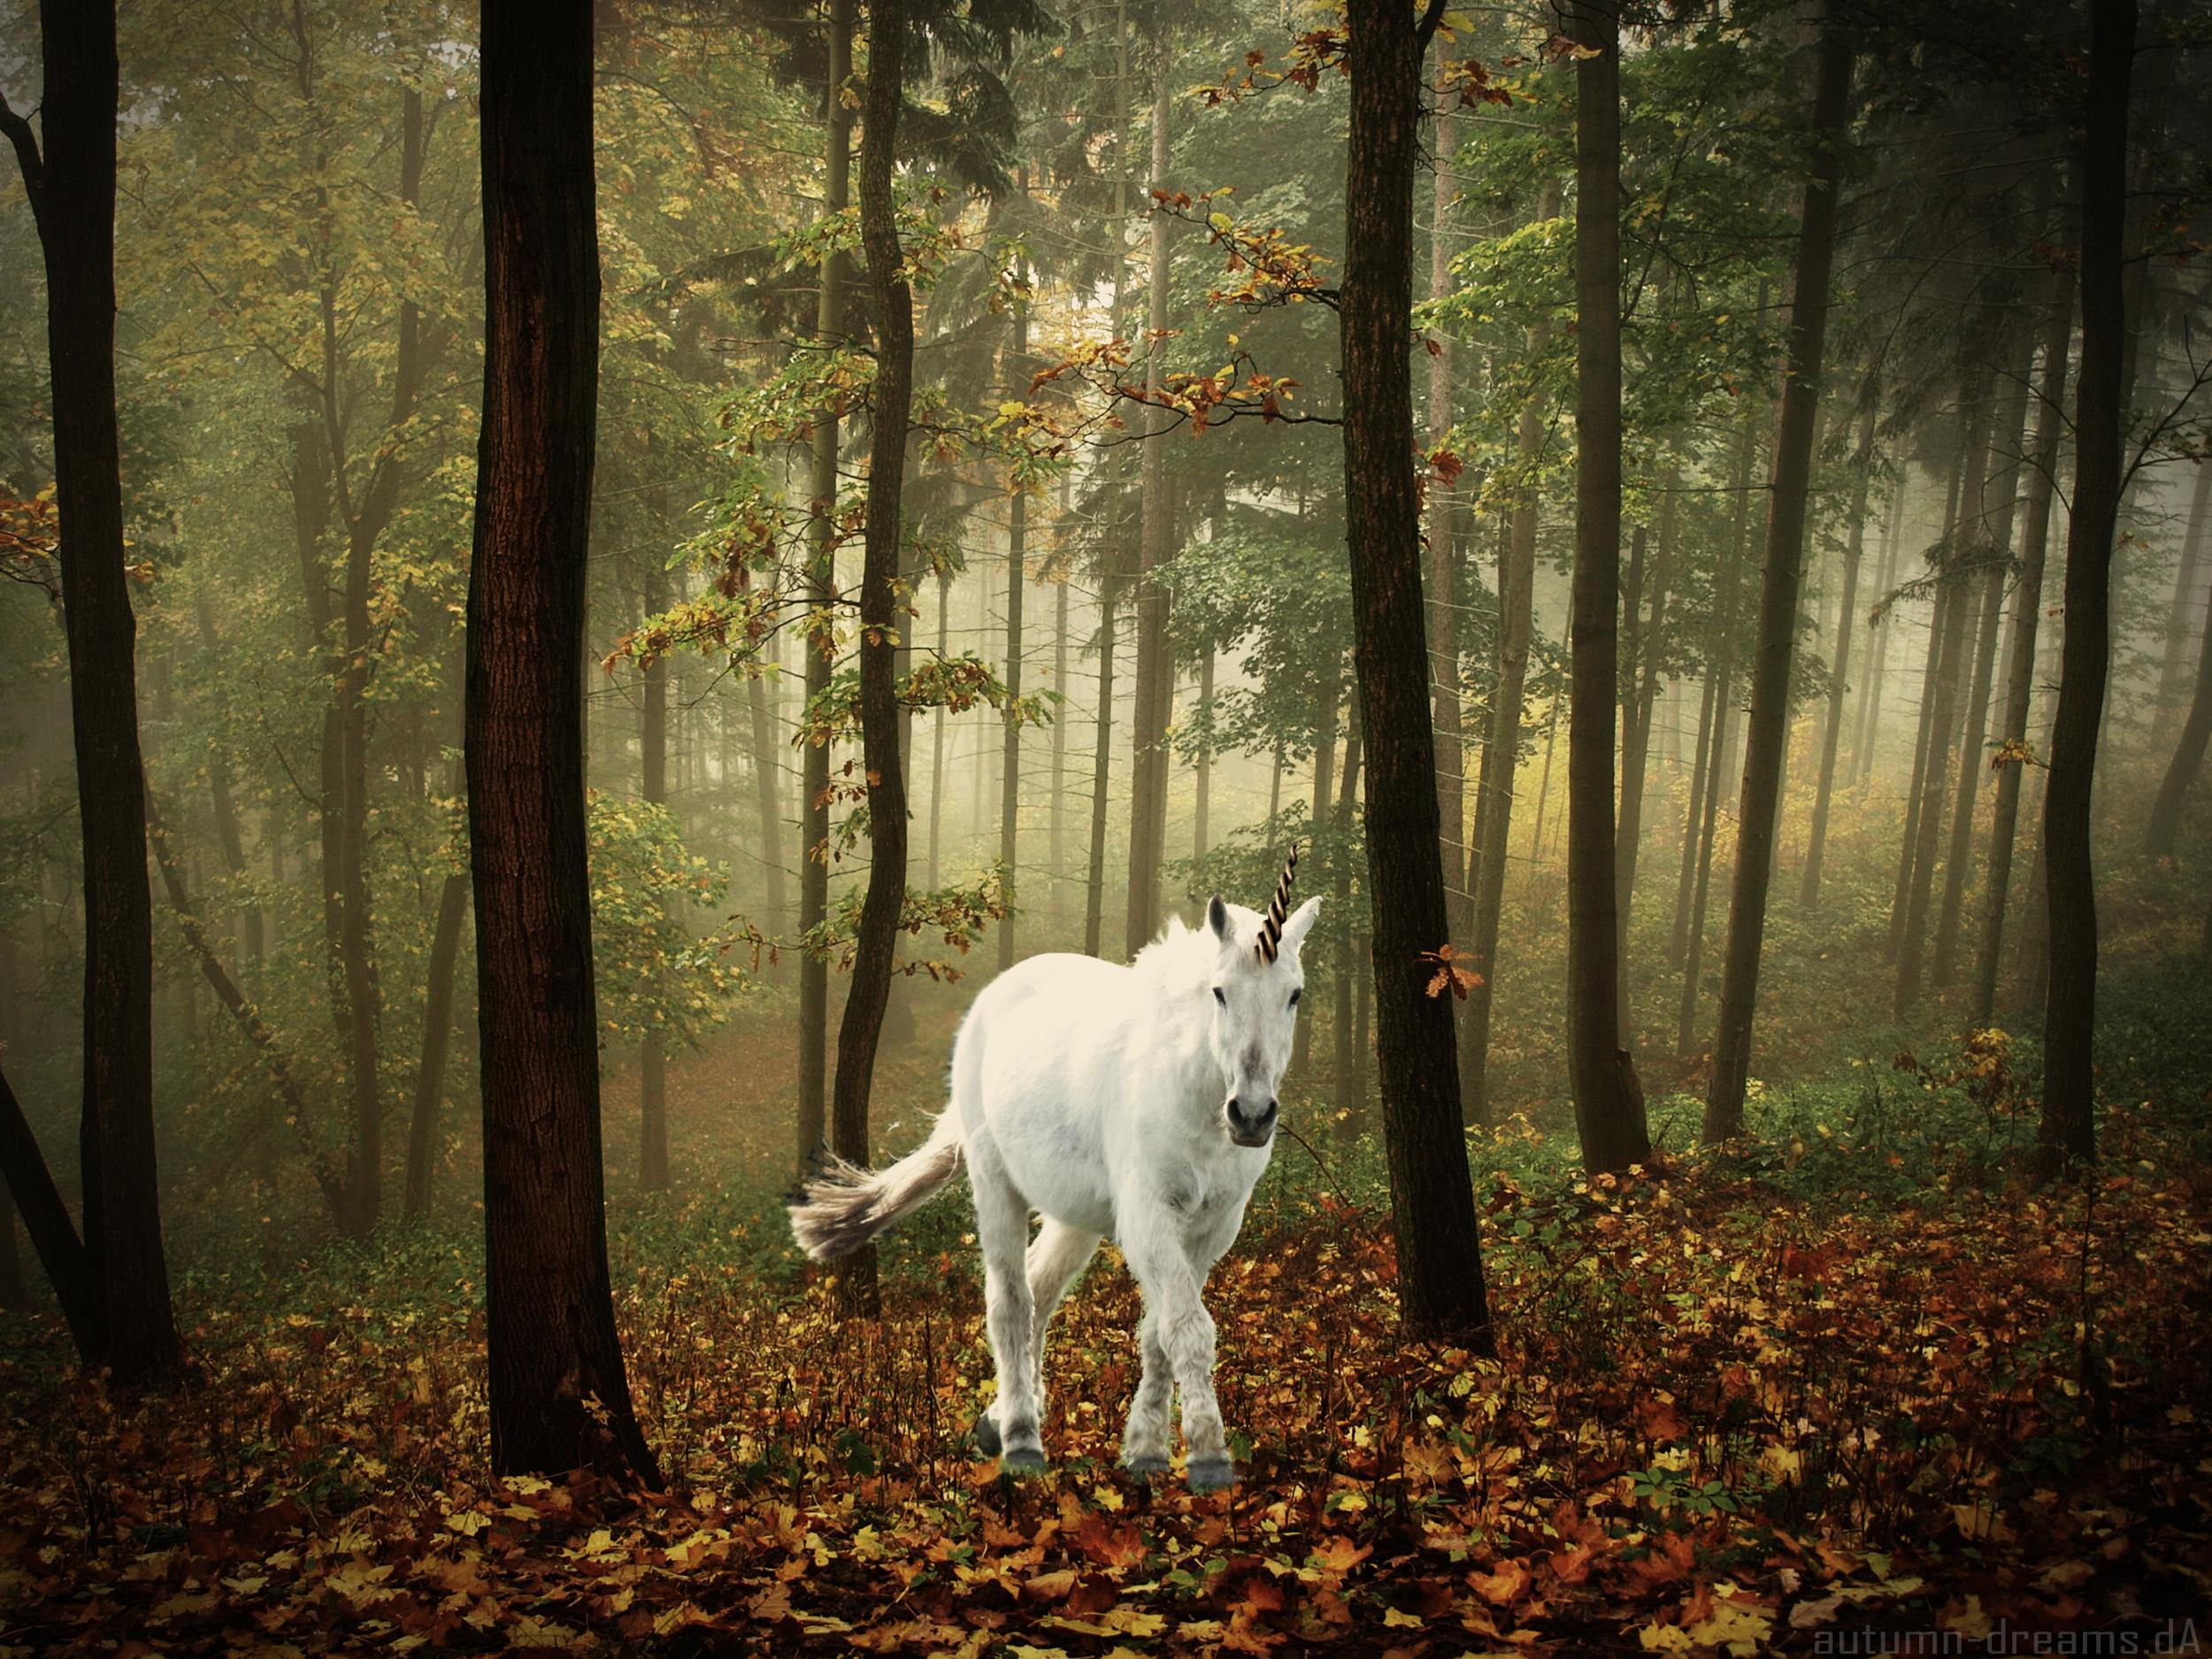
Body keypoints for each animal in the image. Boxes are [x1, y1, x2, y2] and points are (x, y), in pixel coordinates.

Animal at [788, 851, 1321, 1492]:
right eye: (1219, 992)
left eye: (1294, 995)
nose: (1253, 1114)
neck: (1193, 1096)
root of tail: (995, 996)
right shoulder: (1148, 1218)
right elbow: (1187, 1330)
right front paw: (1209, 1455)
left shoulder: (1213, 1229)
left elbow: (1160, 1333)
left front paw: (1145, 1451)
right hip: (997, 1186)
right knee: (1011, 1303)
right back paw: (1021, 1439)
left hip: (1076, 1216)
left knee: (1040, 1292)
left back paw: (1002, 1418)